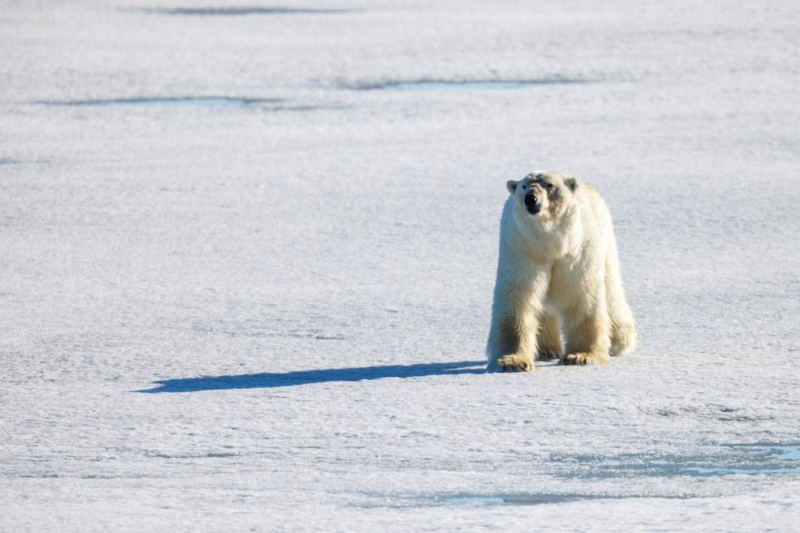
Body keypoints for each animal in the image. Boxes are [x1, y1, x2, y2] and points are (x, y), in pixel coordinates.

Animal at [488, 170, 636, 370]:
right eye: (524, 186)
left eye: (550, 185)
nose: (531, 199)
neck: (552, 245)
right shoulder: (523, 251)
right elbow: (519, 298)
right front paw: (513, 361)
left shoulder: (577, 255)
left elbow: (581, 297)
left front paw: (580, 356)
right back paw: (545, 350)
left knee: (612, 293)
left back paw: (619, 342)